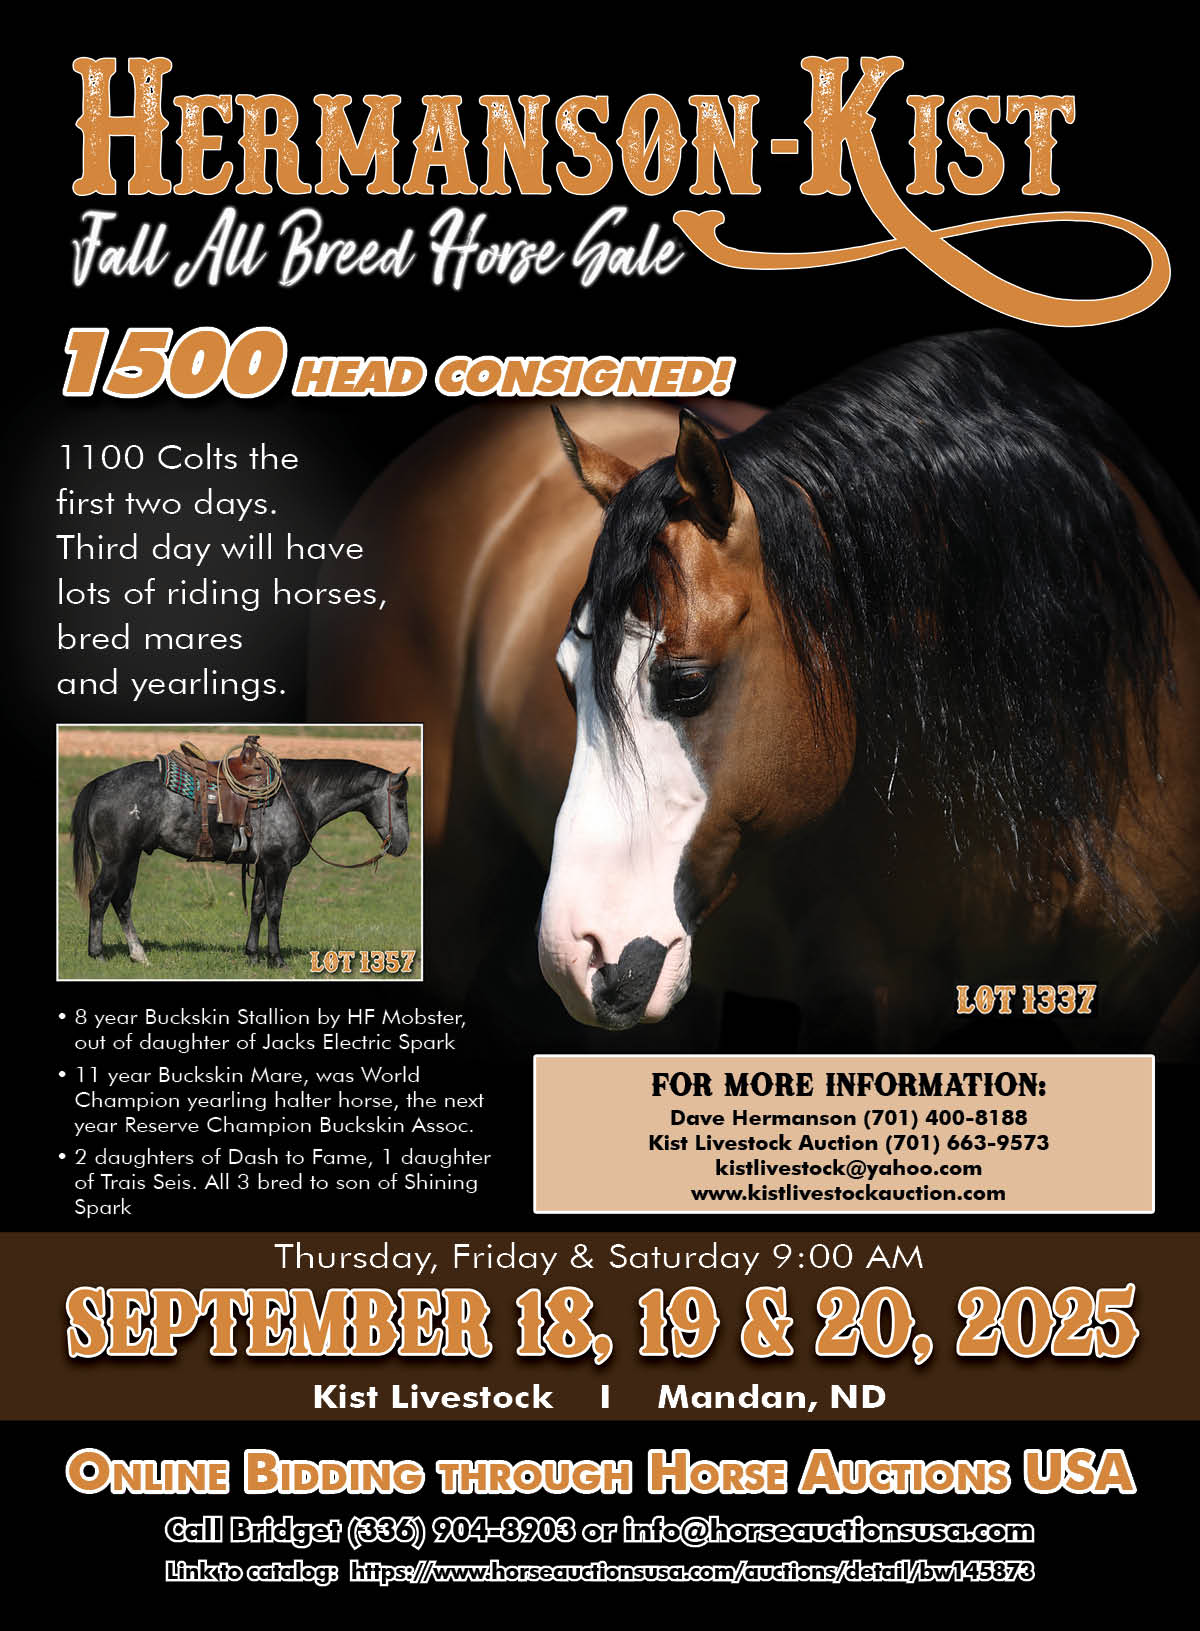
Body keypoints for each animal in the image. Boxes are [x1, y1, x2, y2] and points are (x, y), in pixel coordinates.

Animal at [70, 753, 410, 967]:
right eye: (401, 803)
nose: (402, 845)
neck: (298, 796)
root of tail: (100, 782)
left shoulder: (262, 865)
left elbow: (258, 908)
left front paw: (253, 955)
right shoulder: (279, 866)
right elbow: (274, 909)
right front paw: (276, 959)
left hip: (132, 858)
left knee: (122, 902)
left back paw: (139, 955)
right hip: (116, 859)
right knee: (100, 898)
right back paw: (97, 953)